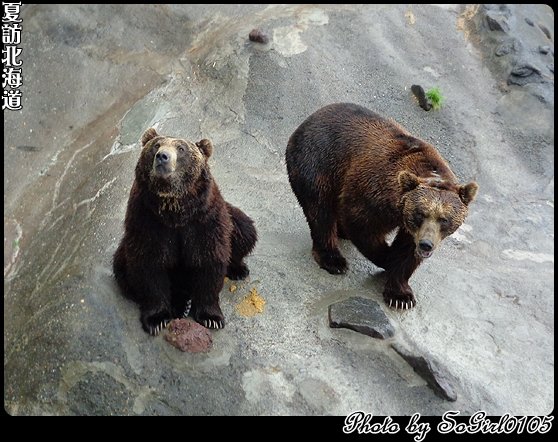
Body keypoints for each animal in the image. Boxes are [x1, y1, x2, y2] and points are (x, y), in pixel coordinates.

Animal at [114, 128, 258, 334]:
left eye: (181, 148)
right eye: (157, 145)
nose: (162, 156)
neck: (175, 210)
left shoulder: (204, 219)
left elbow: (209, 259)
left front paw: (211, 317)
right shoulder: (146, 218)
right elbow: (149, 263)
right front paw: (157, 319)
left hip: (231, 218)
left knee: (245, 231)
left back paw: (238, 269)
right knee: (123, 269)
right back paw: (180, 305)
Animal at [286, 104, 480, 310]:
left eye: (444, 219)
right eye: (420, 214)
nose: (426, 244)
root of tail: (312, 116)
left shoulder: (409, 225)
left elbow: (407, 249)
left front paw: (401, 295)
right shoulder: (373, 194)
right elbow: (362, 225)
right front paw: (388, 258)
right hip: (318, 162)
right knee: (320, 210)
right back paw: (333, 259)